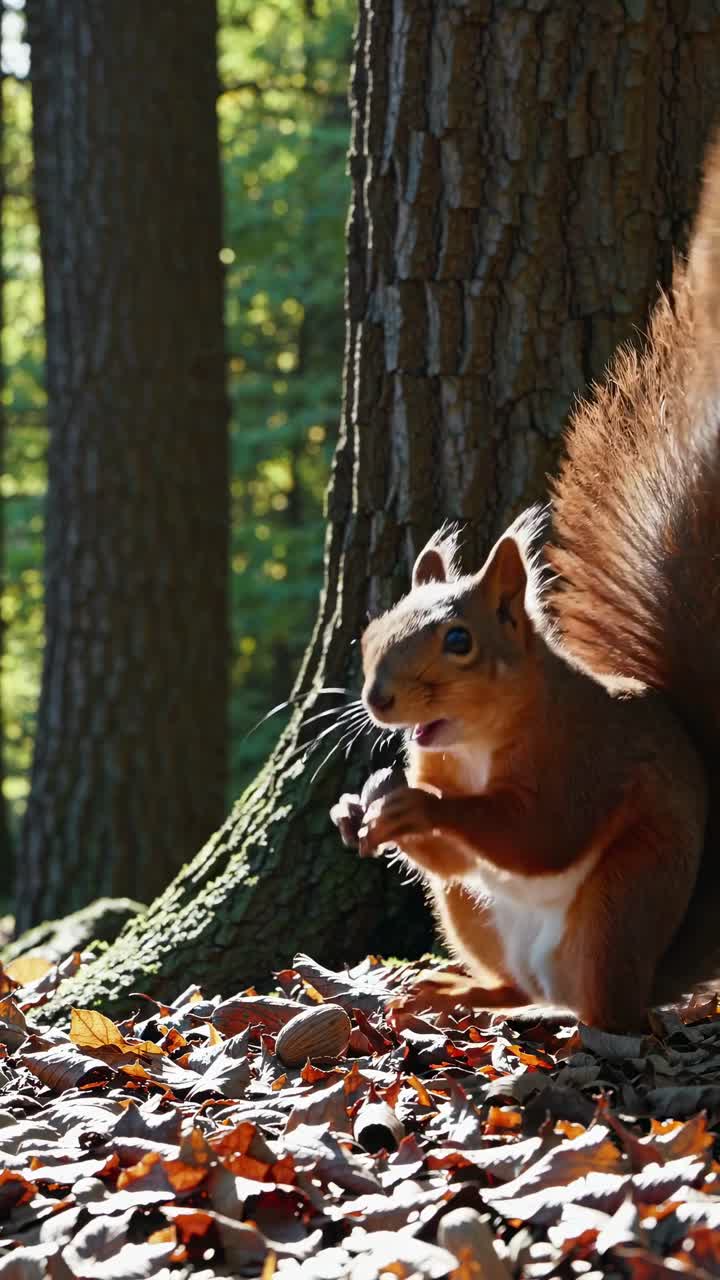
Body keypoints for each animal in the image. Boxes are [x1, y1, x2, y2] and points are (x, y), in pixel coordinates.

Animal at [330, 136, 720, 1033]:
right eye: (370, 633)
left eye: (460, 640)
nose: (378, 702)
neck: (477, 742)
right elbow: (453, 852)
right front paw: (355, 812)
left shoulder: (583, 758)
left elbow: (538, 833)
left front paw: (419, 808)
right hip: (469, 913)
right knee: (505, 967)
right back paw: (461, 991)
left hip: (620, 905)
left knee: (603, 1009)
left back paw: (567, 1019)